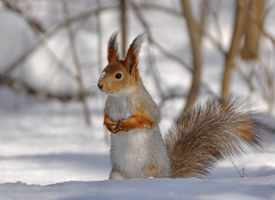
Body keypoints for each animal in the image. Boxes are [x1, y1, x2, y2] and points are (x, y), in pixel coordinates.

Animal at [97, 32, 264, 180]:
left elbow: (147, 120)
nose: (100, 85)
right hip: (117, 174)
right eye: (103, 71)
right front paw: (108, 124)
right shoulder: (109, 106)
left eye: (118, 75)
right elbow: (105, 116)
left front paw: (126, 125)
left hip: (150, 171)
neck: (120, 97)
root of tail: (170, 176)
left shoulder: (147, 106)